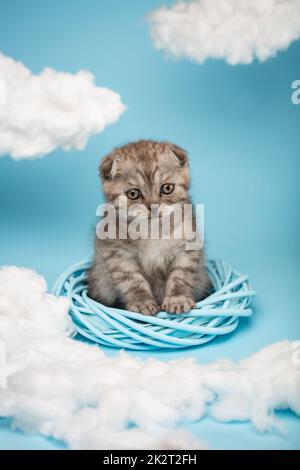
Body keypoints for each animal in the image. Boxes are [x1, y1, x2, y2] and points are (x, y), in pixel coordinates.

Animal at [88, 140, 212, 316]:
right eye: (133, 193)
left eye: (167, 188)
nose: (153, 207)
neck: (153, 230)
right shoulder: (118, 255)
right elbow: (133, 281)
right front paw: (142, 303)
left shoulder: (188, 247)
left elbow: (180, 276)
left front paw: (177, 299)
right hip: (100, 282)